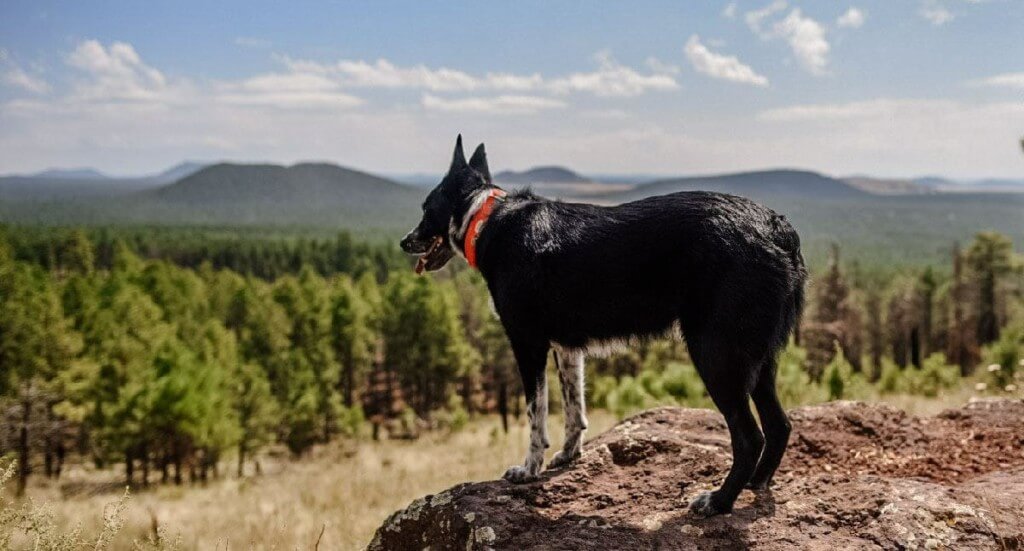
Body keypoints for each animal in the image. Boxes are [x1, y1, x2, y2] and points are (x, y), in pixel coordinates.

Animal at [399, 136, 806, 514]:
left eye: (425, 208)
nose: (404, 241)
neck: (485, 217)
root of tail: (778, 228)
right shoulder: (566, 348)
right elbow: (574, 409)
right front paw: (568, 456)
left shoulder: (527, 343)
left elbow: (536, 415)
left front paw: (529, 470)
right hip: (757, 360)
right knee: (779, 425)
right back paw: (755, 483)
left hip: (716, 355)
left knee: (750, 437)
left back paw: (719, 501)